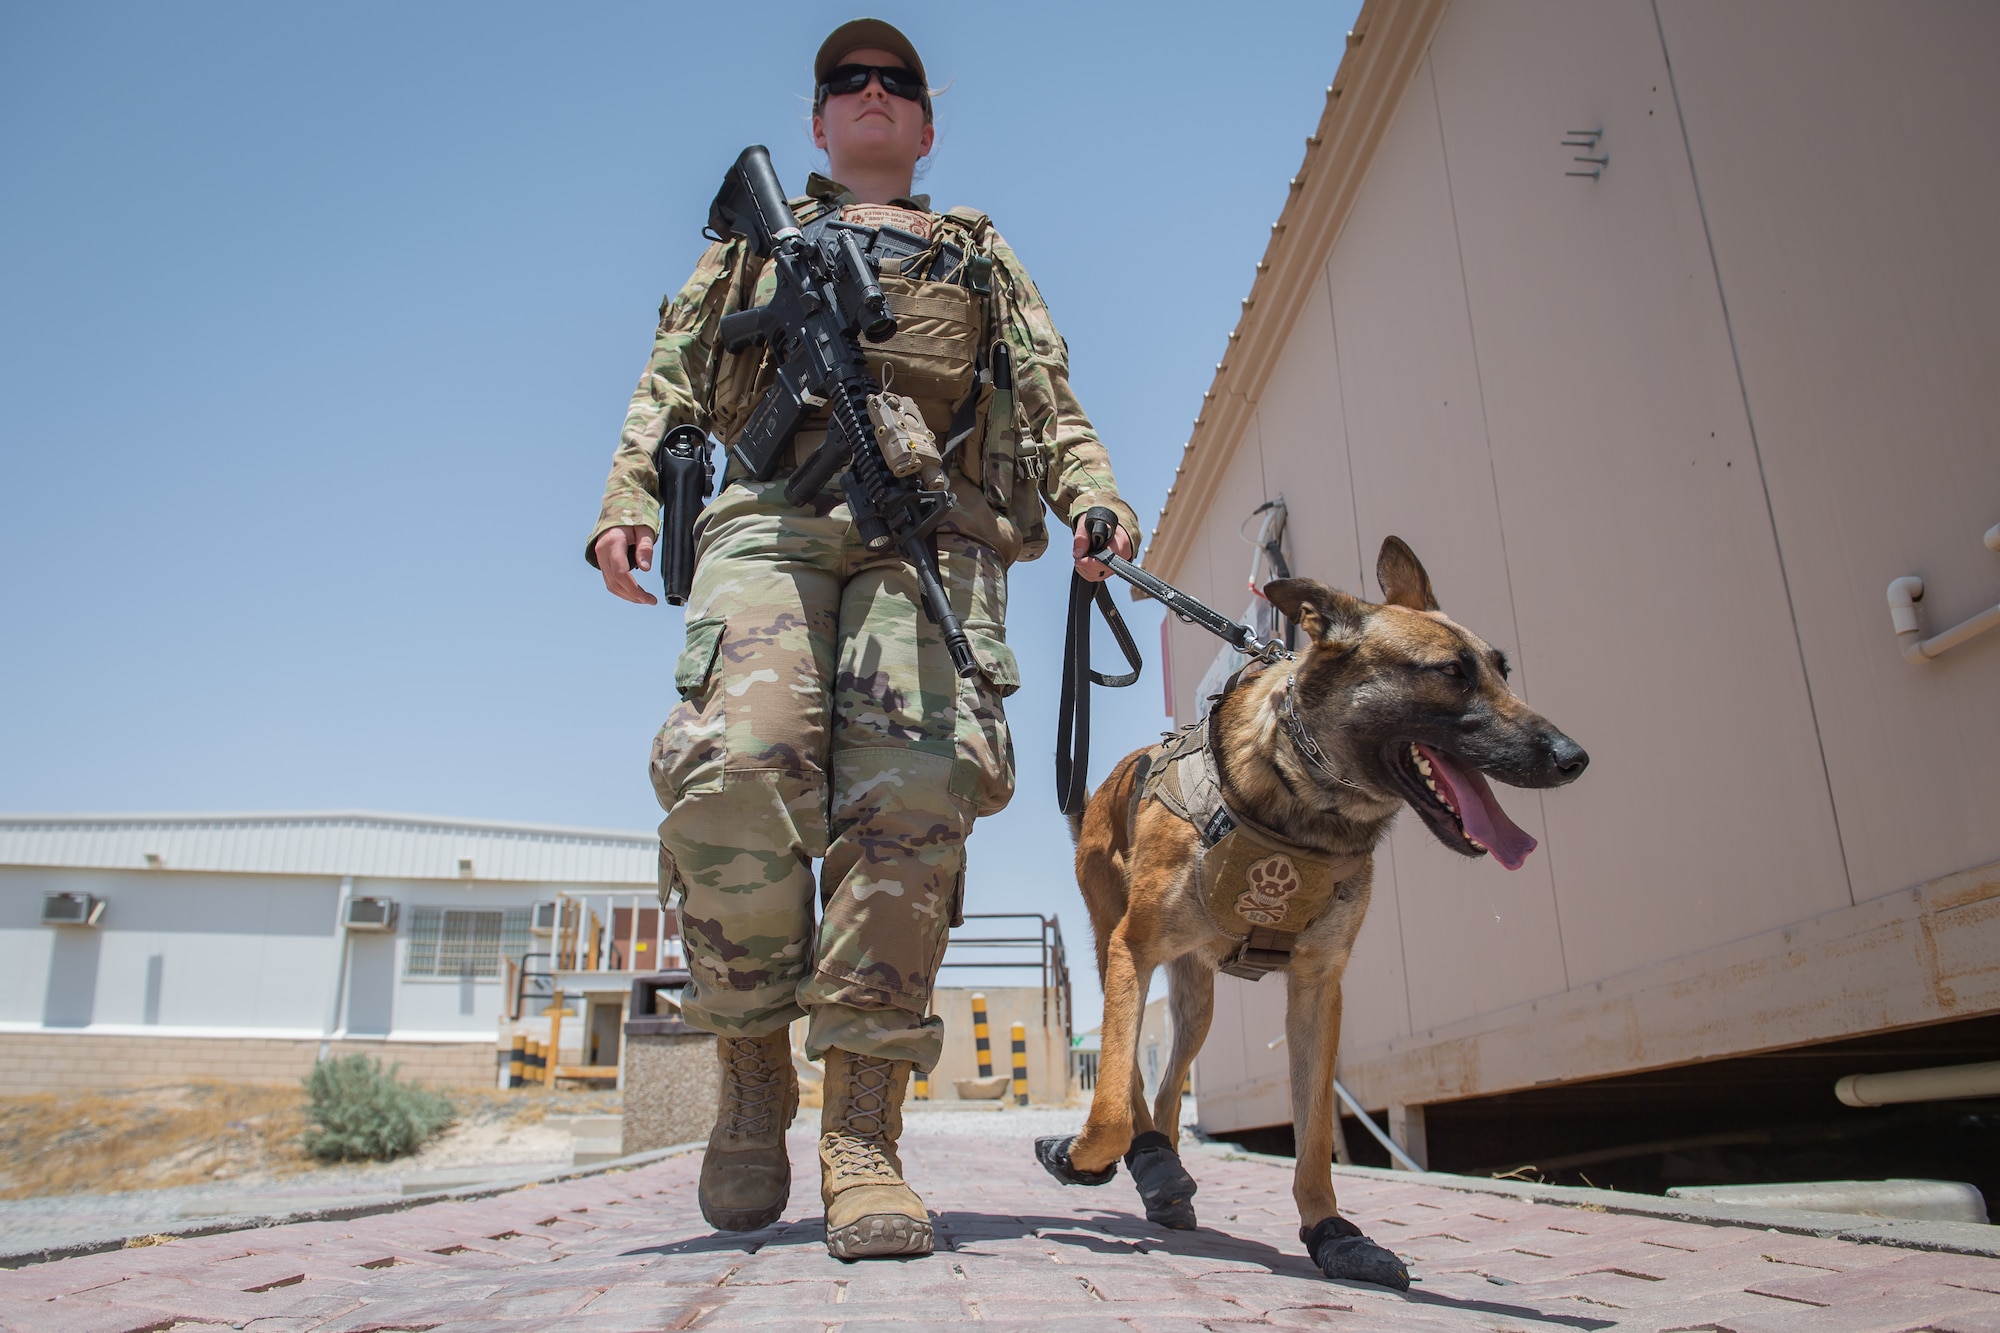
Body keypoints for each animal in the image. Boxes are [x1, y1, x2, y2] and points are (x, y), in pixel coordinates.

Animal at [1040, 532, 1584, 1288]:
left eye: (1502, 670)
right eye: (1451, 673)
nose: (1574, 757)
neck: (1300, 801)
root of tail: (1097, 791)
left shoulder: (1318, 988)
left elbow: (1316, 1130)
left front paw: (1331, 1230)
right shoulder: (1134, 948)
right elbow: (1114, 1100)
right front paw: (1083, 1153)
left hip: (1196, 999)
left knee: (1173, 1084)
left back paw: (1164, 1170)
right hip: (1117, 948)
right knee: (1136, 1081)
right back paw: (1140, 1161)